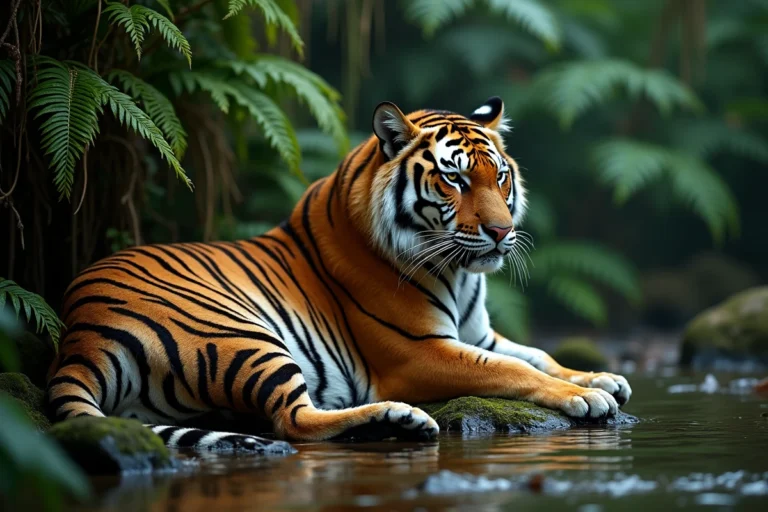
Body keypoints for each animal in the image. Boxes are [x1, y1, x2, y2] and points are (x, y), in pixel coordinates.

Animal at [46, 97, 632, 453]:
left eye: (501, 176)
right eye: (455, 180)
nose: (500, 231)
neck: (461, 272)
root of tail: (79, 331)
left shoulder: (479, 333)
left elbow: (539, 355)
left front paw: (601, 377)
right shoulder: (420, 350)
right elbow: (514, 371)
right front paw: (585, 397)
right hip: (242, 333)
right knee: (293, 422)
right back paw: (399, 418)